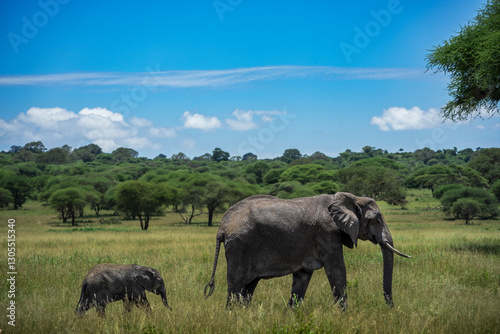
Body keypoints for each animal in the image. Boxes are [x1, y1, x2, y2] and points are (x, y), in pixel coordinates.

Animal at [204, 192, 410, 310]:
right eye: (377, 219)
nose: (392, 308)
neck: (351, 198)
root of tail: (222, 225)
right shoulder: (327, 234)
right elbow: (337, 270)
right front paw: (345, 315)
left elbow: (302, 278)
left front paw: (292, 315)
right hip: (241, 246)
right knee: (236, 286)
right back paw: (232, 315)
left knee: (247, 288)